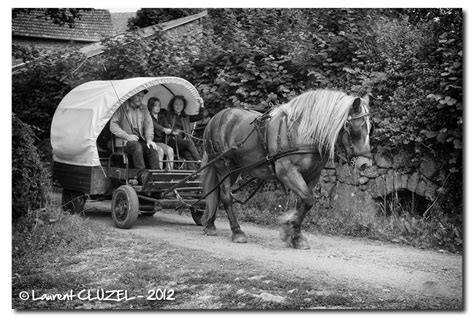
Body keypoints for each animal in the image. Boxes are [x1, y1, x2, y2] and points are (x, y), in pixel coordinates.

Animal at [202, 87, 372, 248]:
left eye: (370, 128)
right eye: (357, 127)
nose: (365, 163)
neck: (302, 133)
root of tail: (216, 118)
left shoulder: (312, 175)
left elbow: (302, 203)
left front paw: (293, 234)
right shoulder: (287, 172)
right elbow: (308, 200)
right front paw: (290, 230)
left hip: (233, 170)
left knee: (218, 193)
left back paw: (210, 225)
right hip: (223, 165)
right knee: (226, 197)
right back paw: (237, 232)